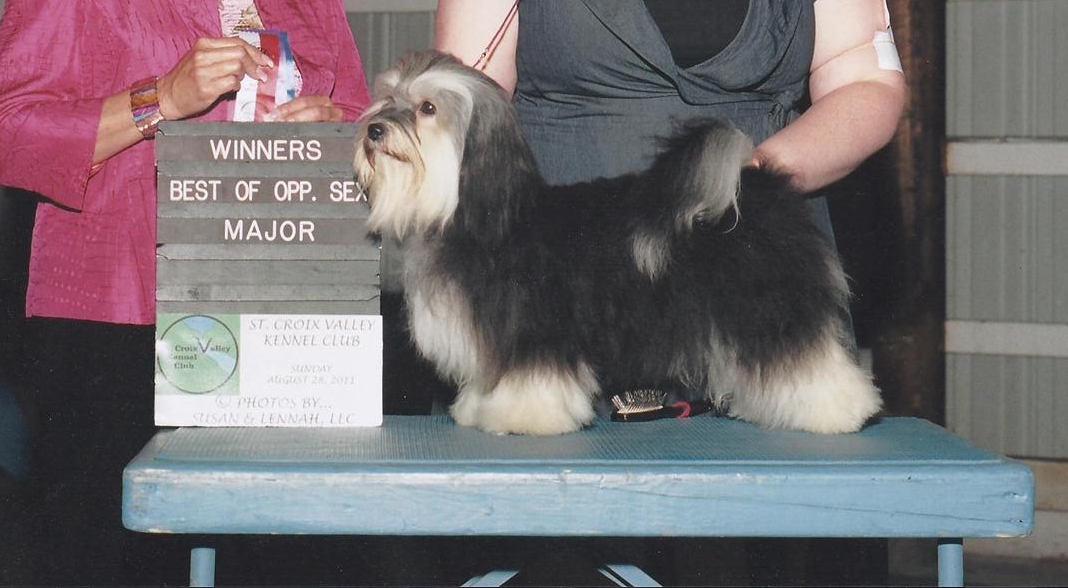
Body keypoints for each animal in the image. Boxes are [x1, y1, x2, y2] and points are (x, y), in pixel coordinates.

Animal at [354, 51, 880, 437]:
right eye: (388, 98)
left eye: (427, 108)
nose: (374, 129)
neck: (480, 213)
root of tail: (755, 187)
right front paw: (477, 408)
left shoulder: (538, 330)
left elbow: (534, 379)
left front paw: (523, 417)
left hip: (771, 311)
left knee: (809, 361)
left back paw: (843, 413)